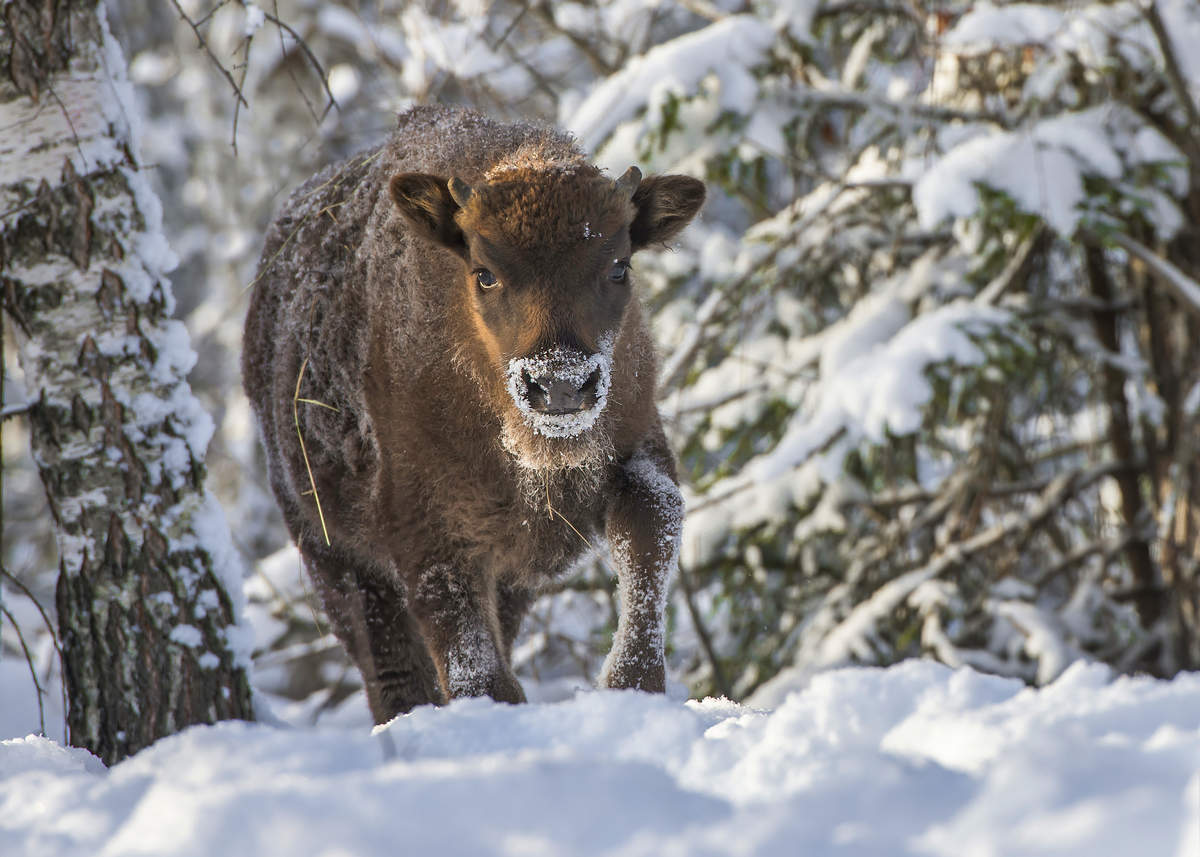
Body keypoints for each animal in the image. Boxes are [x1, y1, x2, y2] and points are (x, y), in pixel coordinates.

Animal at [242, 105, 700, 720]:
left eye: (619, 267)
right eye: (484, 272)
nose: (559, 385)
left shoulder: (635, 445)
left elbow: (651, 523)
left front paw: (633, 683)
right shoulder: (428, 531)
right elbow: (472, 662)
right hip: (328, 553)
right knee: (390, 667)